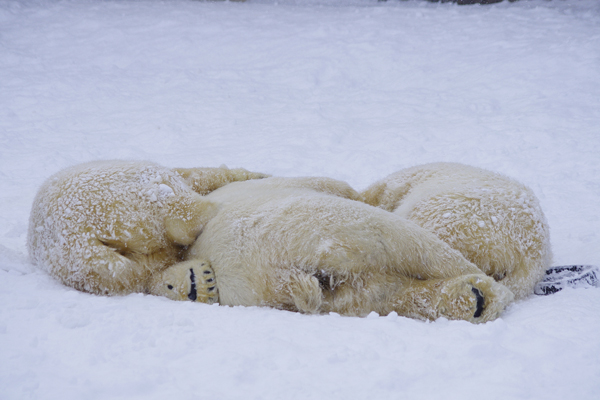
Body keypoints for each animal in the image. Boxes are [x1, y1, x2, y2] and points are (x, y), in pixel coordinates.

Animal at [27, 161, 268, 302]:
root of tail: (80, 235)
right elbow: (200, 176)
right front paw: (257, 175)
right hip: (126, 197)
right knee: (177, 209)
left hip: (92, 269)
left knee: (139, 271)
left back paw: (199, 282)